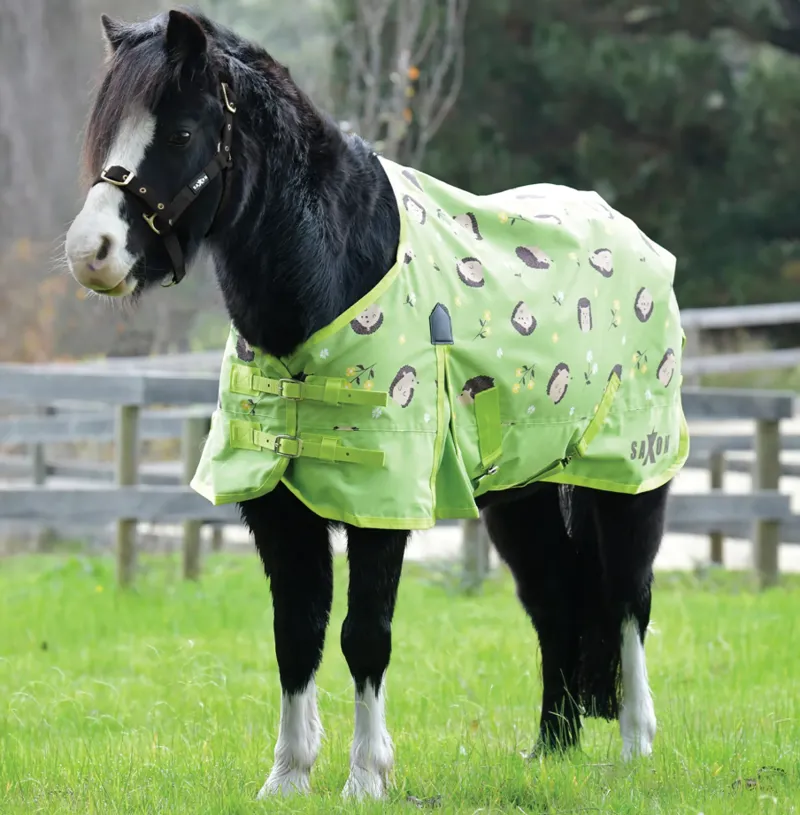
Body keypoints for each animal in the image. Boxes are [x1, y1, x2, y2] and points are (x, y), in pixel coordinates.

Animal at [64, 9, 675, 799]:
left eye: (179, 133)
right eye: (106, 133)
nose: (91, 251)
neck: (334, 272)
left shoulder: (382, 505)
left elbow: (364, 636)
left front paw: (366, 778)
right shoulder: (279, 508)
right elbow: (295, 635)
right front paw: (288, 777)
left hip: (629, 479)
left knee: (629, 598)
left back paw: (633, 747)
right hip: (523, 495)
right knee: (552, 599)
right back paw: (551, 749)